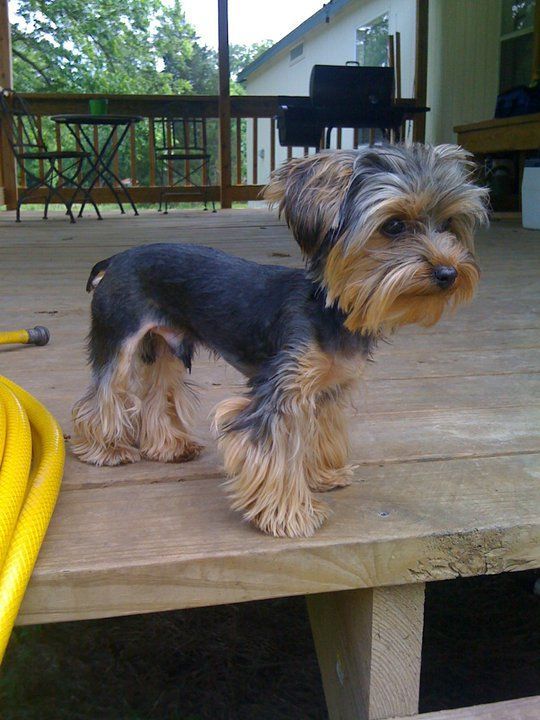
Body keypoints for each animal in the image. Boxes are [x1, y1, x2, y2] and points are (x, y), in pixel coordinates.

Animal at [71, 143, 490, 536]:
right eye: (394, 226)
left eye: (449, 223)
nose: (448, 272)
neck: (332, 307)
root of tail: (115, 259)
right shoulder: (281, 392)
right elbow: (276, 450)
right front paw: (290, 515)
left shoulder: (325, 390)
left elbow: (316, 436)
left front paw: (322, 476)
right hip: (120, 334)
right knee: (103, 392)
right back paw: (105, 449)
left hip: (166, 345)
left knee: (158, 390)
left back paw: (170, 447)